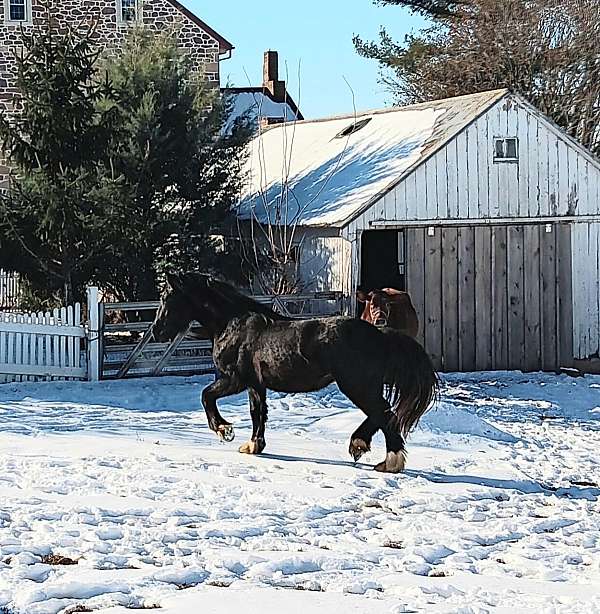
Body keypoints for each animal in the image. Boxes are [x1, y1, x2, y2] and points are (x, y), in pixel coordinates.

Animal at [152, 276, 438, 476]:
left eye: (168, 298)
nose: (156, 332)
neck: (233, 323)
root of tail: (379, 334)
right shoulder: (255, 385)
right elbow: (257, 413)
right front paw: (253, 446)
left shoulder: (235, 380)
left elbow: (206, 396)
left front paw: (224, 430)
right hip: (362, 386)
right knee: (384, 414)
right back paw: (373, 452)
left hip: (356, 385)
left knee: (384, 413)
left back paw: (380, 456)